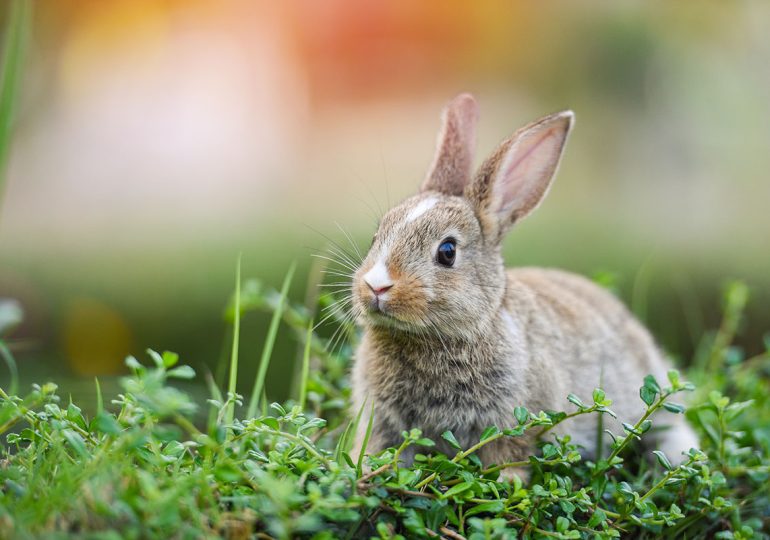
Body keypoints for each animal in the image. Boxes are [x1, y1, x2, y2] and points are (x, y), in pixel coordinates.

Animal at [348, 93, 698, 478]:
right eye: (376, 236)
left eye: (447, 252)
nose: (376, 286)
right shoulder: (384, 424)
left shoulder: (514, 420)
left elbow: (509, 453)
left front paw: (508, 481)